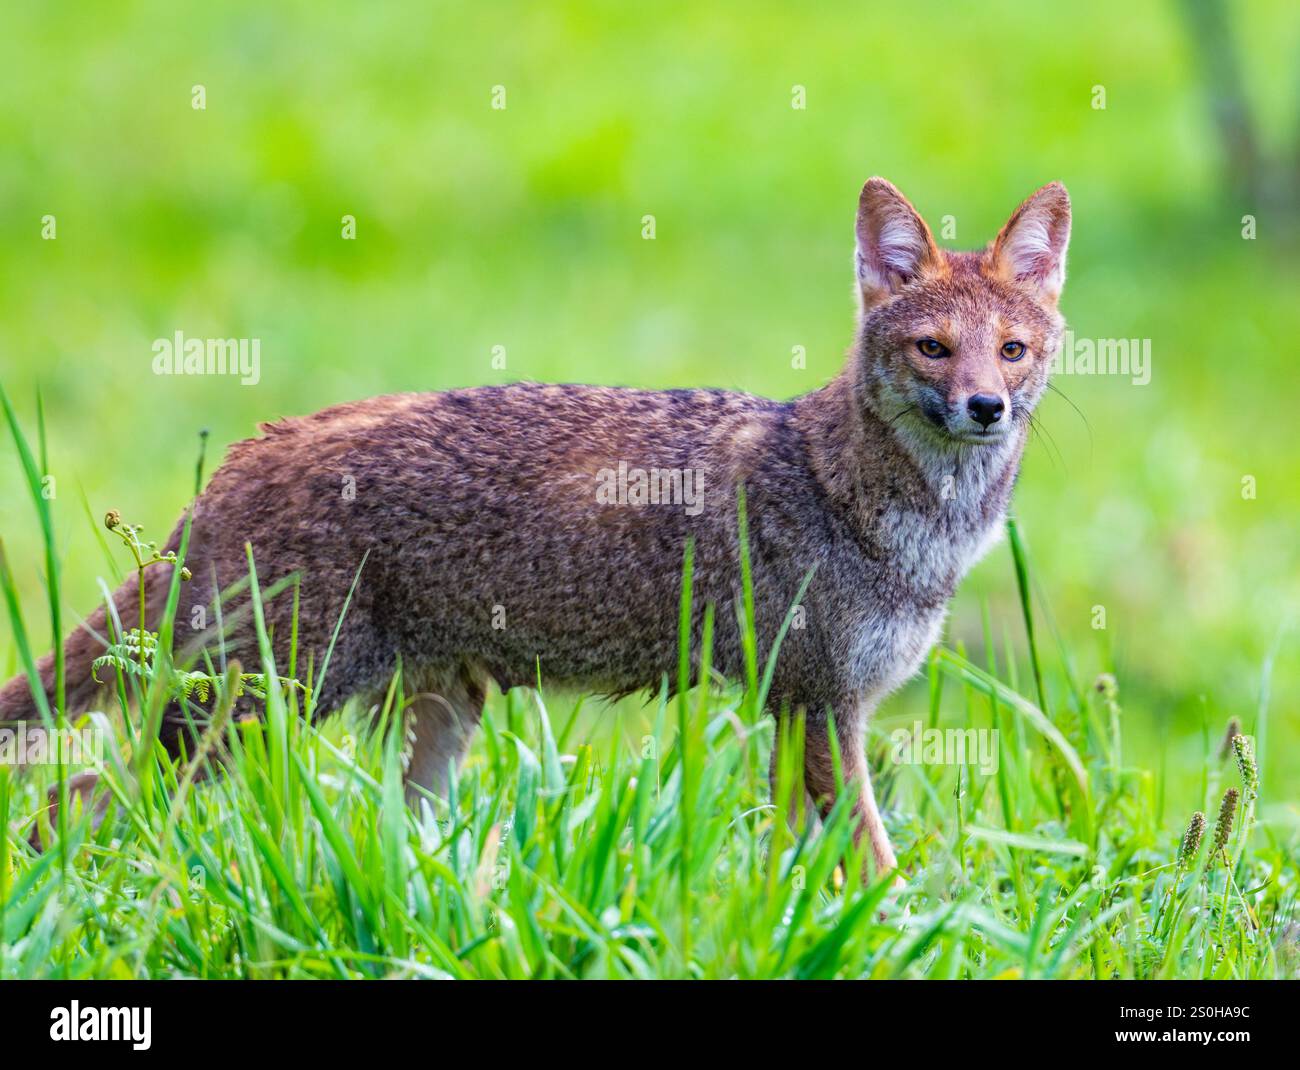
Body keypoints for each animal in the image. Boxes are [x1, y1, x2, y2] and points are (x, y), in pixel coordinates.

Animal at [1, 177, 1070, 878]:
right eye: (934, 349)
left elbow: (801, 859)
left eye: (1012, 351)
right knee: (68, 805)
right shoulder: (819, 703)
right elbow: (873, 863)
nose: (986, 408)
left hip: (426, 731)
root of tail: (253, 449)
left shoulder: (806, 706)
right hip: (249, 719)